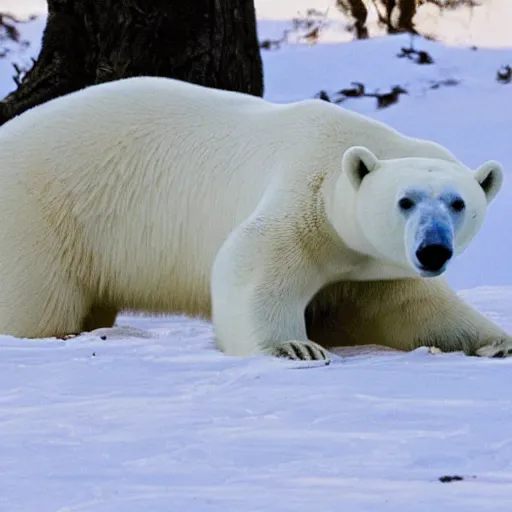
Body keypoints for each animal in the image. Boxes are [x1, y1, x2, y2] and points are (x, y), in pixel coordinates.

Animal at [0, 77, 510, 364]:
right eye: (405, 201)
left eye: (458, 203)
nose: (433, 249)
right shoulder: (304, 199)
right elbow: (251, 264)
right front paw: (296, 347)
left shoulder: (372, 265)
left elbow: (410, 307)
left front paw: (496, 342)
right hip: (37, 213)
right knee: (36, 304)